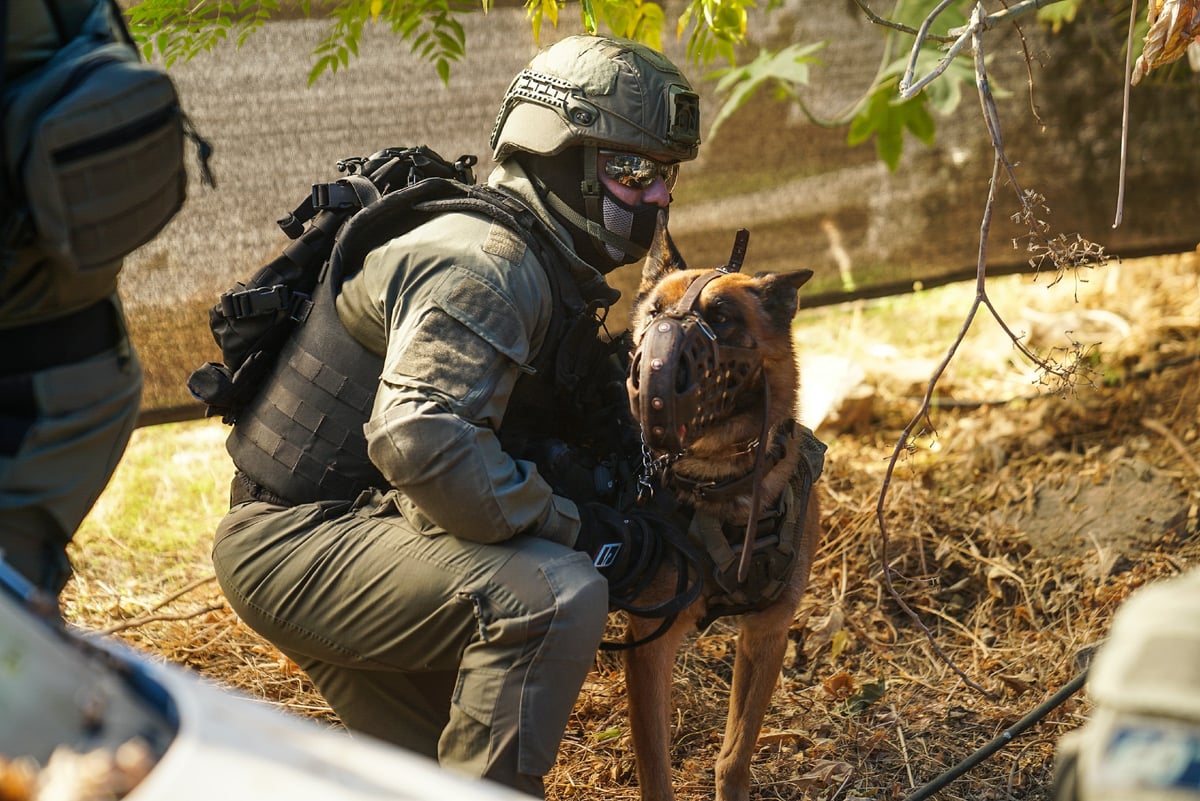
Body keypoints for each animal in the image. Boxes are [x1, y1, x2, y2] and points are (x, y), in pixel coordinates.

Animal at [619, 230, 825, 801]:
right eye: (654, 311)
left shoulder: (766, 636)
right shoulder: (650, 646)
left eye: (723, 316)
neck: (720, 482)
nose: (659, 368)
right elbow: (655, 769)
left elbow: (735, 755)